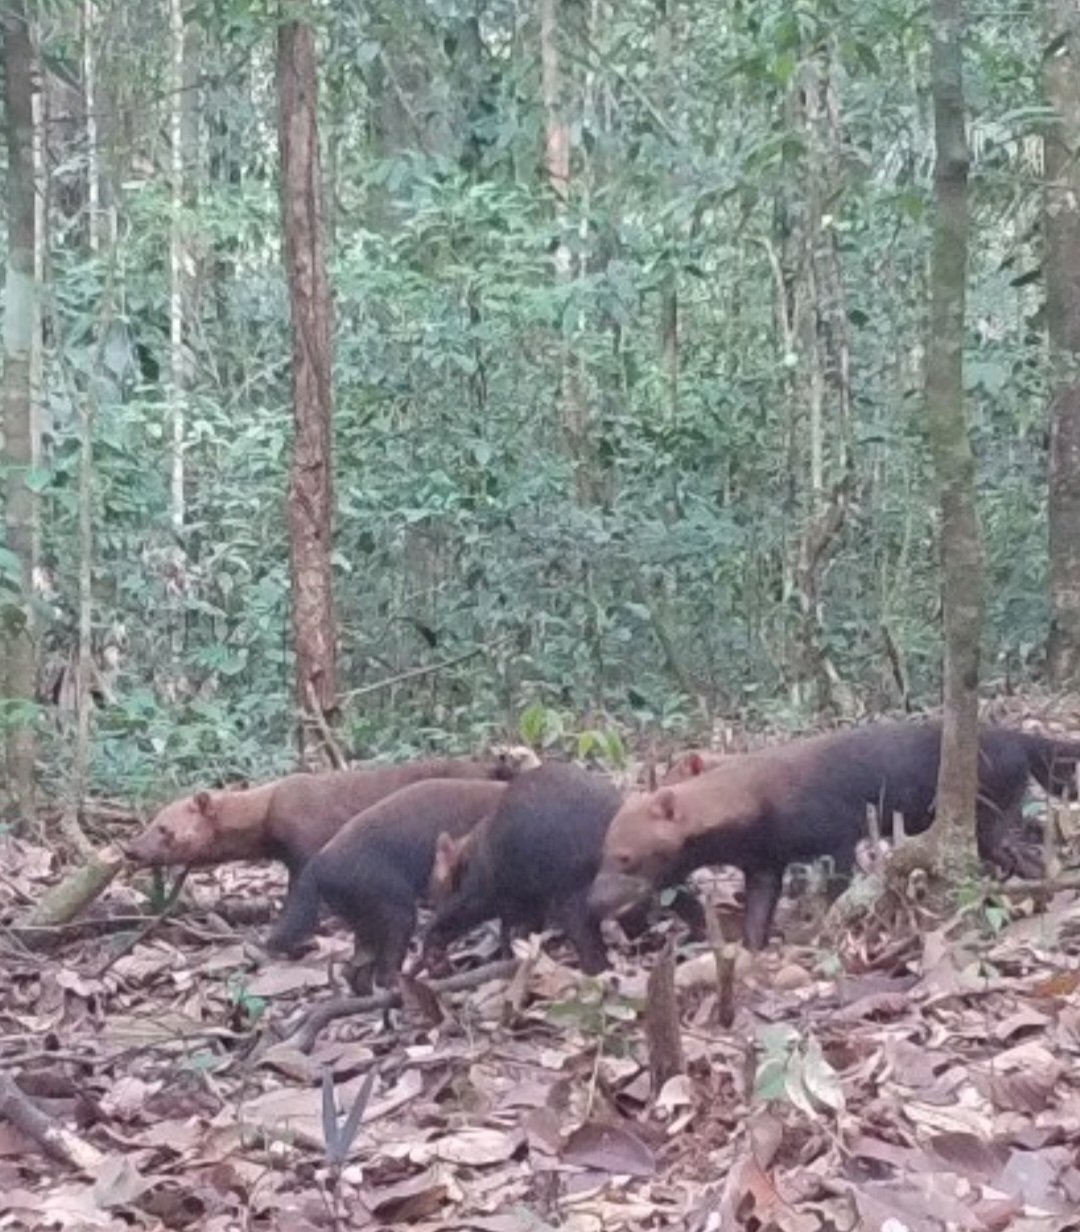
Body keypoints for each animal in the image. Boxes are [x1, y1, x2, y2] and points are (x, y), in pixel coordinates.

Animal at [586, 719, 1078, 951]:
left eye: (626, 857)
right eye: (603, 851)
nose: (593, 900)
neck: (754, 801)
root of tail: (1017, 737)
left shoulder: (836, 835)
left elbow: (837, 888)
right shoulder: (764, 864)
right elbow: (757, 912)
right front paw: (752, 948)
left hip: (985, 817)